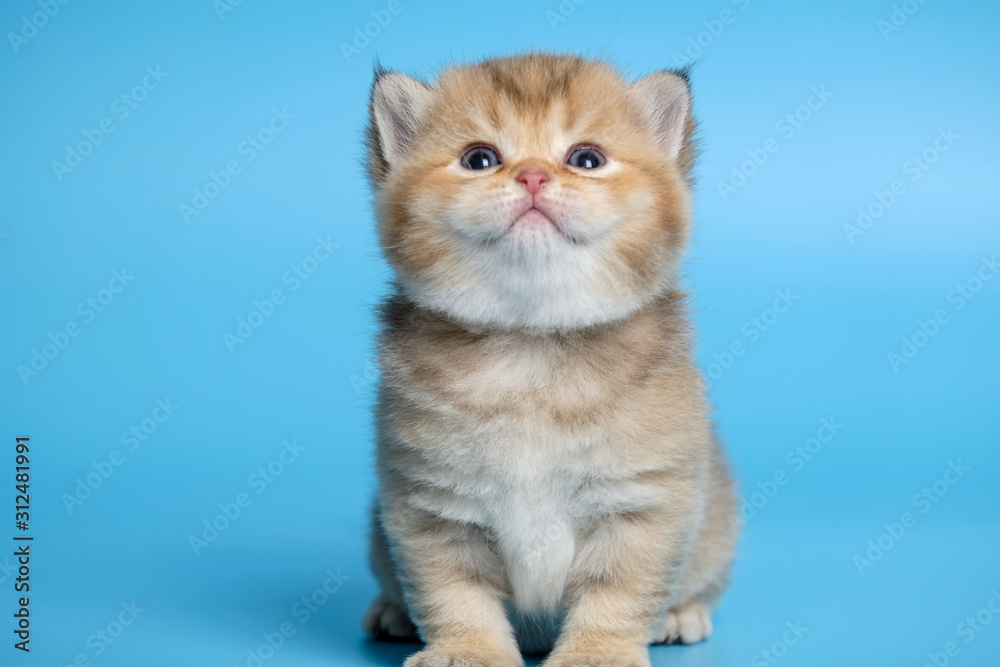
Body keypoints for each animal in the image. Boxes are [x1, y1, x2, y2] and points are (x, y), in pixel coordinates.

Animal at [364, 53, 740, 667]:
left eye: (586, 159)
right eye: (479, 159)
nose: (534, 176)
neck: (531, 346)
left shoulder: (643, 503)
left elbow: (617, 591)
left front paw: (598, 653)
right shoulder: (430, 506)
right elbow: (453, 591)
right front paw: (466, 649)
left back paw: (683, 612)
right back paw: (390, 612)